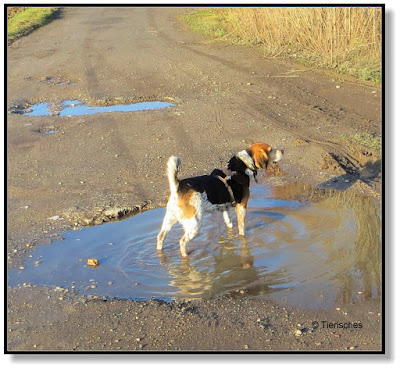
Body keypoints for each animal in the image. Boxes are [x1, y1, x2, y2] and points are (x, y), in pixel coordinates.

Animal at [156, 142, 284, 258]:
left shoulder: (225, 209)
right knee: (181, 241)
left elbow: (229, 224)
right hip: (194, 224)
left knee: (160, 237)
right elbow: (241, 229)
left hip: (170, 220)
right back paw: (185, 256)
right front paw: (242, 239)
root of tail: (178, 186)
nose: (283, 150)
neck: (243, 166)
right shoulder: (241, 207)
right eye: (271, 149)